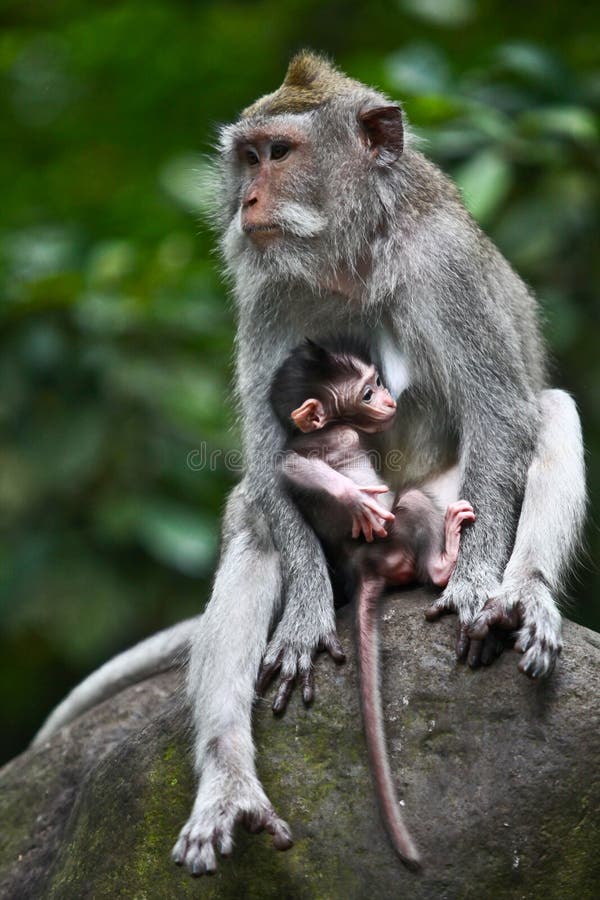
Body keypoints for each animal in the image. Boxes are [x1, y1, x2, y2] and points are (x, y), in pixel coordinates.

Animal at [267, 336, 476, 866]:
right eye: (364, 392)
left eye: (377, 381)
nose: (387, 399)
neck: (338, 428)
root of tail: (367, 569)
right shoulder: (331, 440)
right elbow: (290, 466)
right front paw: (354, 499)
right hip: (395, 537)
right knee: (413, 503)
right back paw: (444, 558)